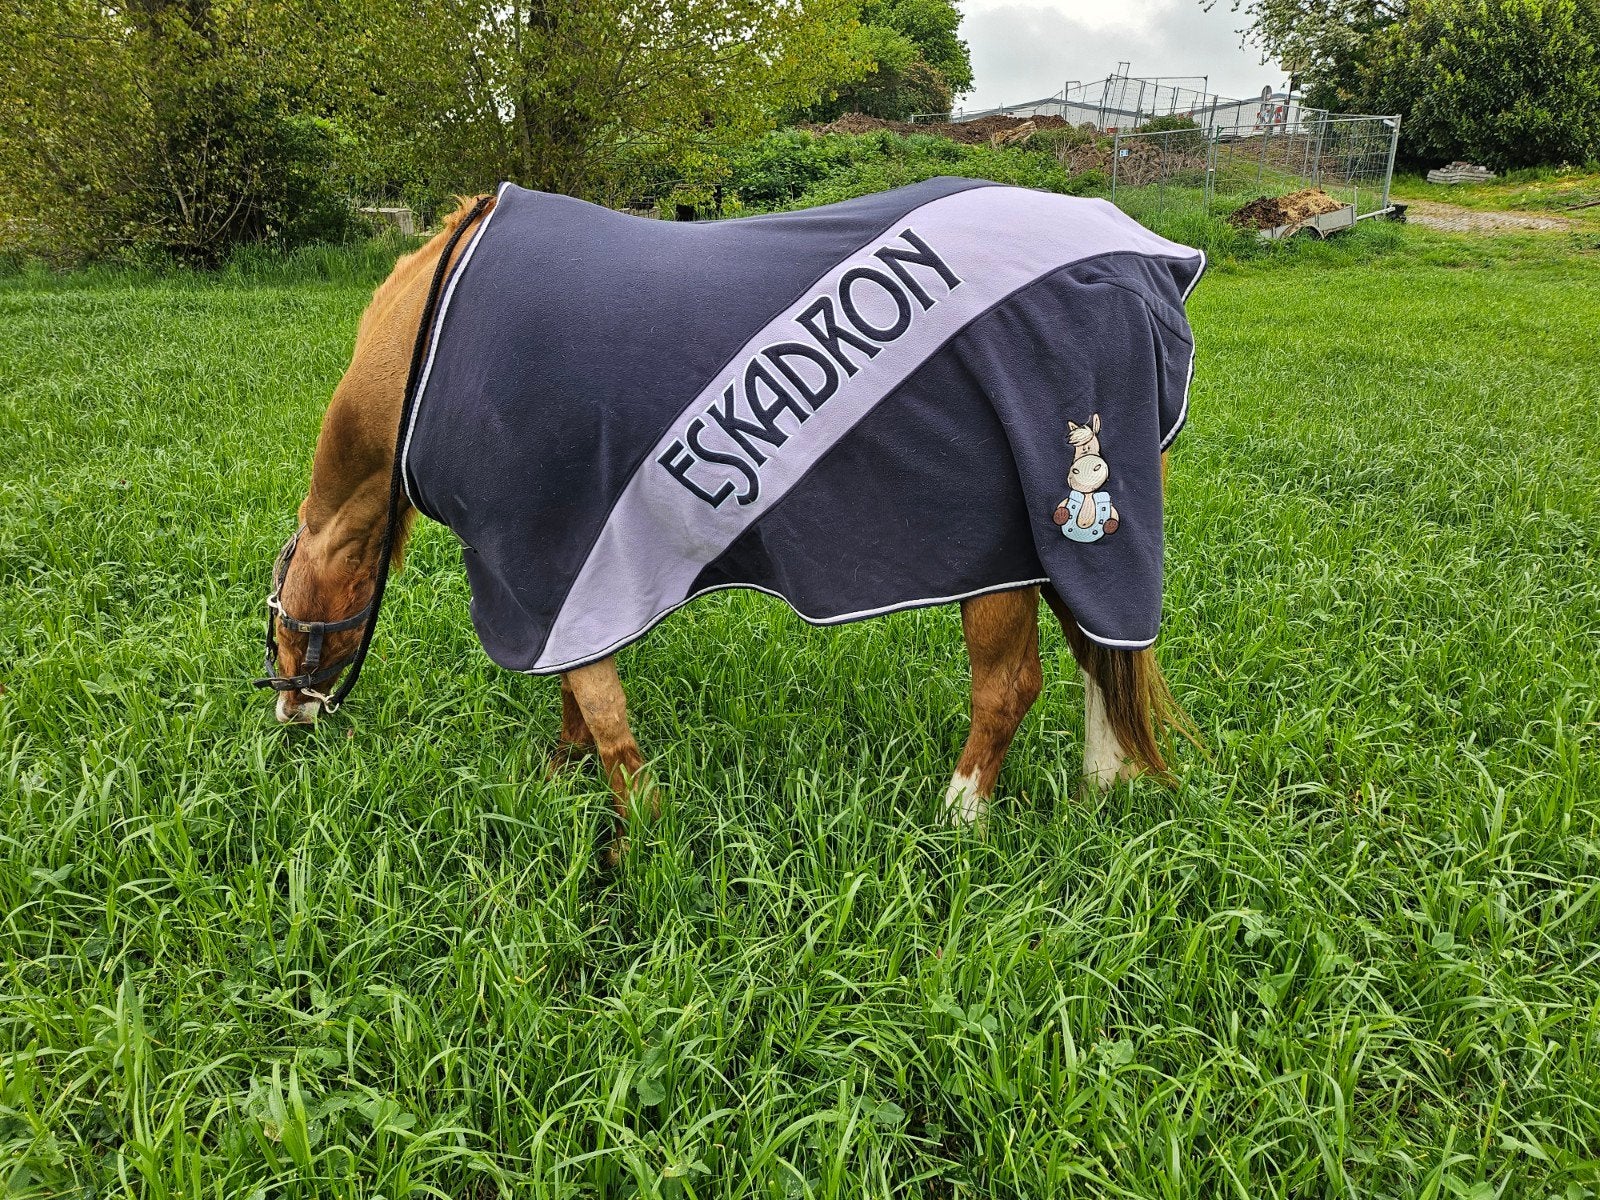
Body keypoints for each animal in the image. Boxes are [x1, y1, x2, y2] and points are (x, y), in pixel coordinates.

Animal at [259, 191, 1195, 856]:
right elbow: (574, 696)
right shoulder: (561, 581)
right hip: (1056, 553)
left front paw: (637, 837)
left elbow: (601, 709)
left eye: (280, 618)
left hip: (1000, 555)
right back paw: (1102, 788)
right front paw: (562, 780)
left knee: (1009, 688)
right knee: (1100, 661)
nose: (291, 713)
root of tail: (1141, 264)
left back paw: (957, 816)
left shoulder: (540, 563)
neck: (432, 347)